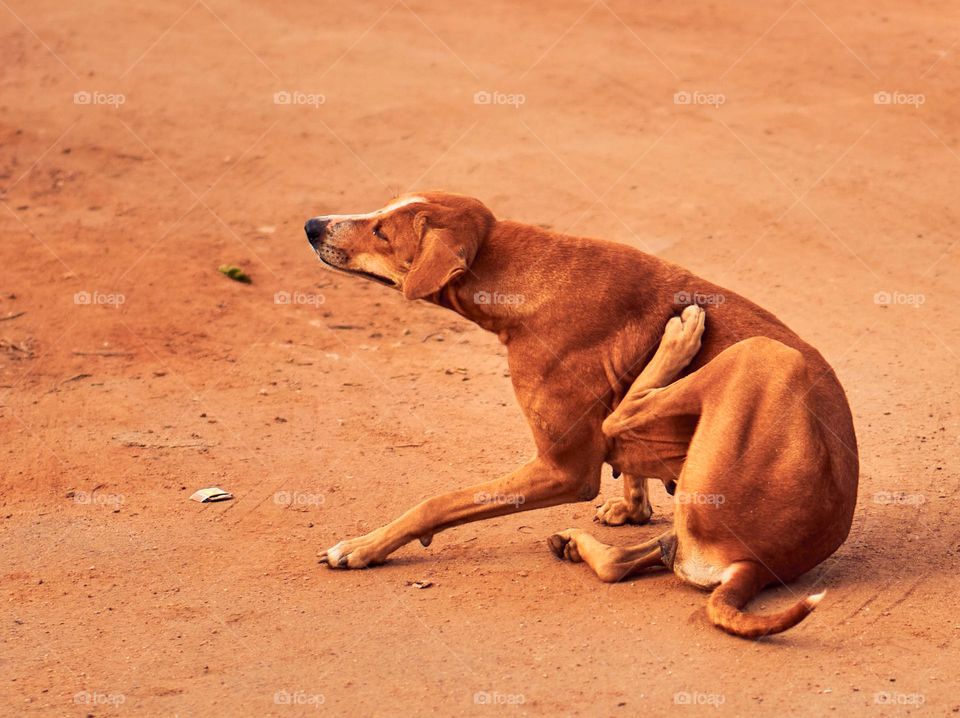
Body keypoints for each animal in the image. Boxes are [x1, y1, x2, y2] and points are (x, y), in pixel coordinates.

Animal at [304, 193, 860, 640]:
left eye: (381, 230)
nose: (311, 224)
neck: (512, 267)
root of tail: (757, 569)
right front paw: (631, 506)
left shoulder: (564, 470)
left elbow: (434, 503)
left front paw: (364, 547)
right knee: (620, 558)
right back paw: (582, 544)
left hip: (765, 356)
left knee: (625, 415)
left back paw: (677, 341)